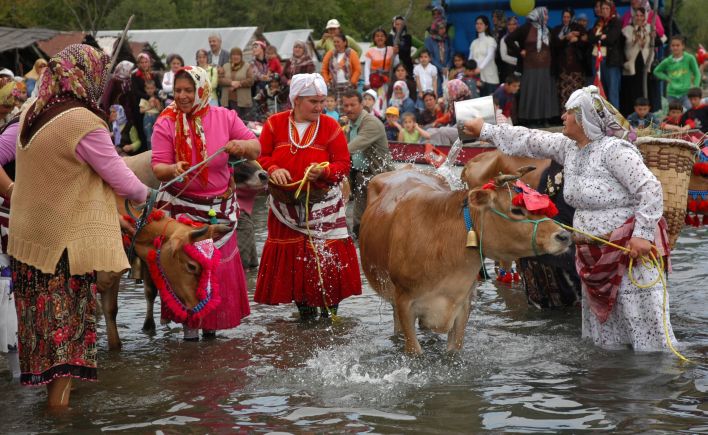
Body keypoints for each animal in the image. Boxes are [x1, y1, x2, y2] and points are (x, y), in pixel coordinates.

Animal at [360, 164, 568, 354]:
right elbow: (414, 351)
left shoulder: (462, 304)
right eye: (516, 210)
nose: (564, 235)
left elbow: (454, 351)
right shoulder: (404, 303)